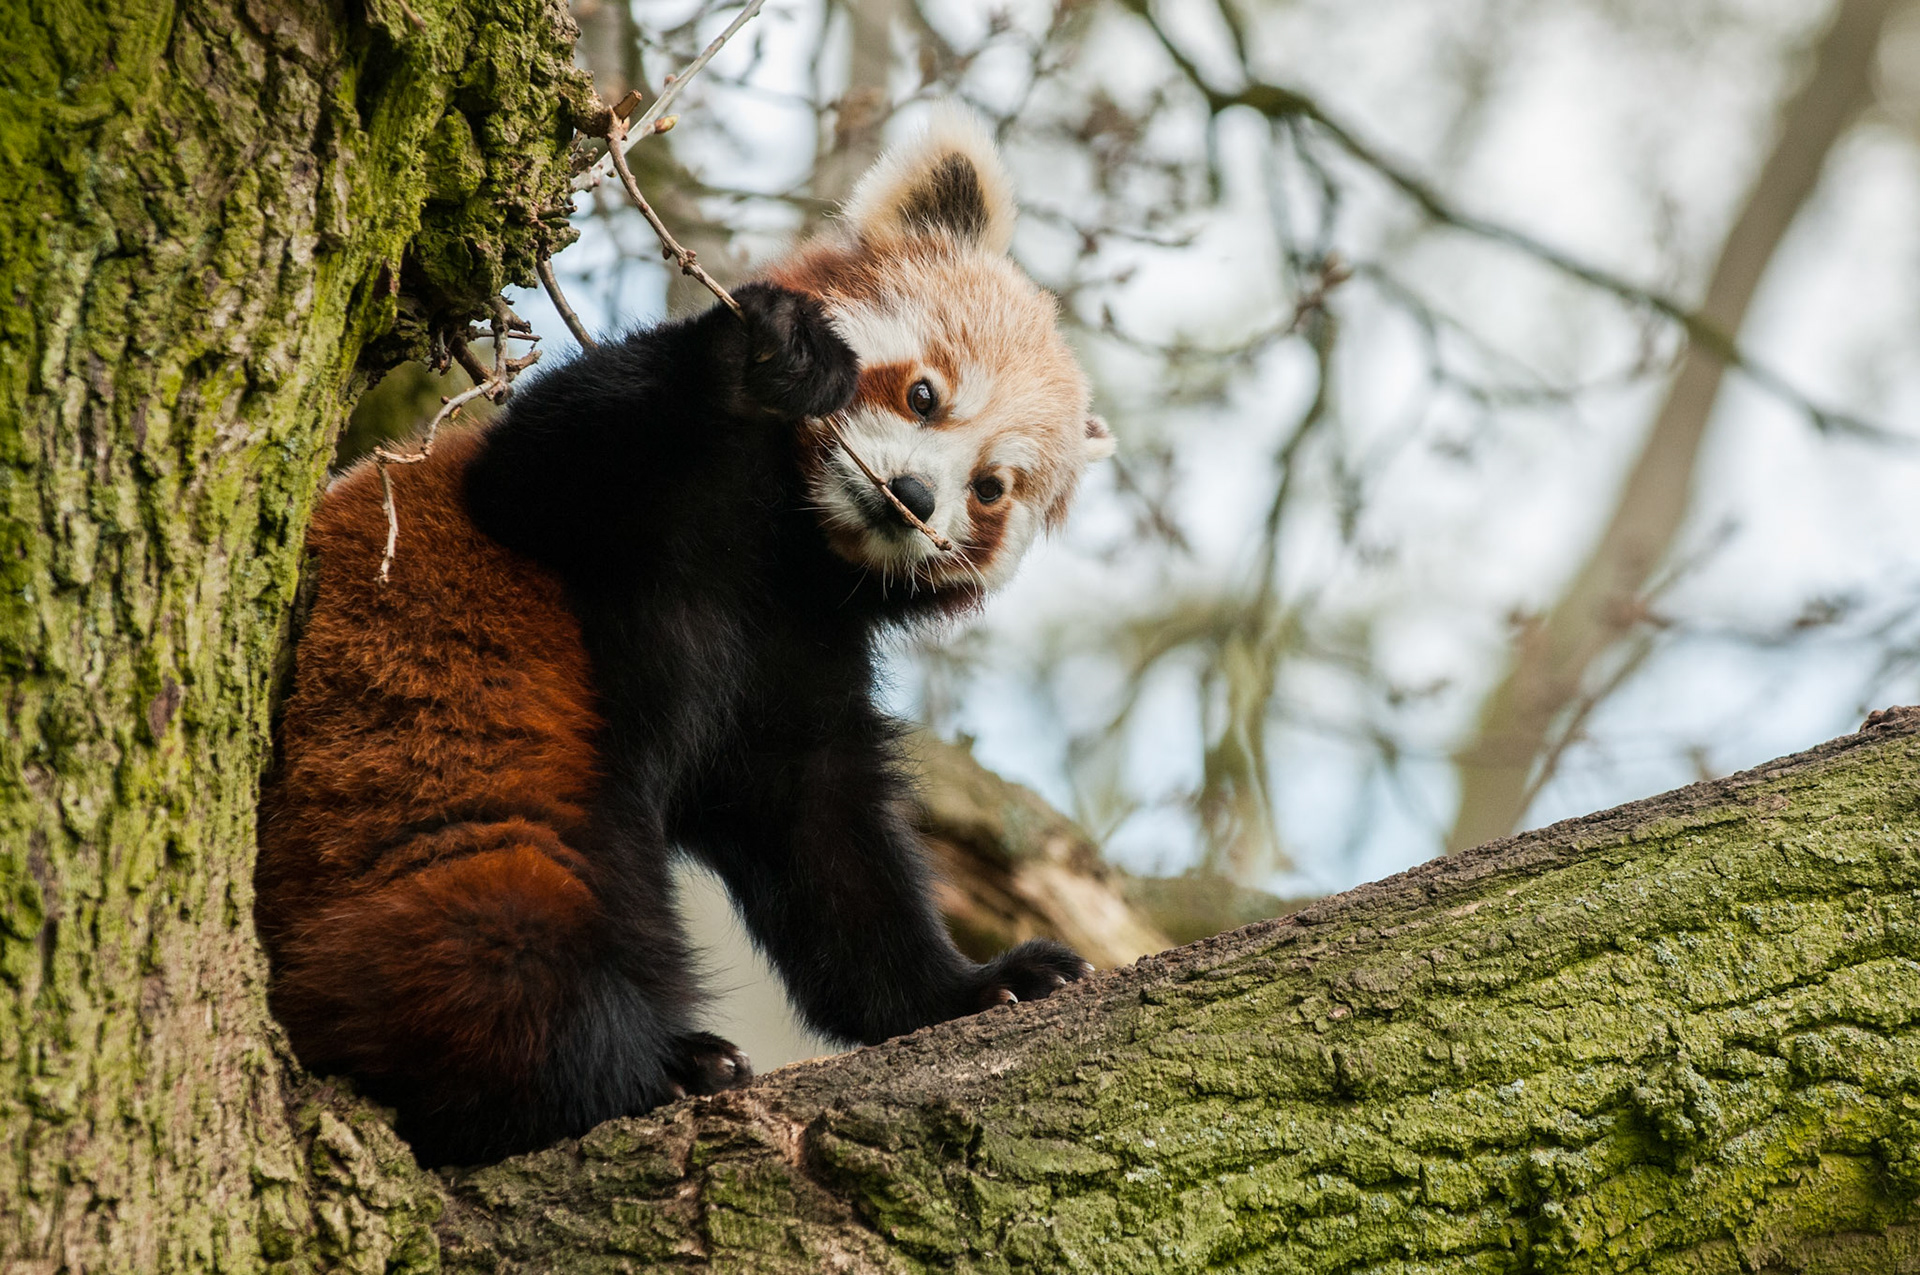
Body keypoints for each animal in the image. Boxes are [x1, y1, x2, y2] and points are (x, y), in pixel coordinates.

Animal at [254, 108, 1116, 1167]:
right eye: (924, 395)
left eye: (992, 488)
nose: (914, 497)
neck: (777, 547)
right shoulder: (589, 509)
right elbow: (559, 454)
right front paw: (762, 362)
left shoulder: (793, 656)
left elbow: (825, 844)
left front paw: (968, 988)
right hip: (433, 848)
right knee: (504, 950)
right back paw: (649, 1064)